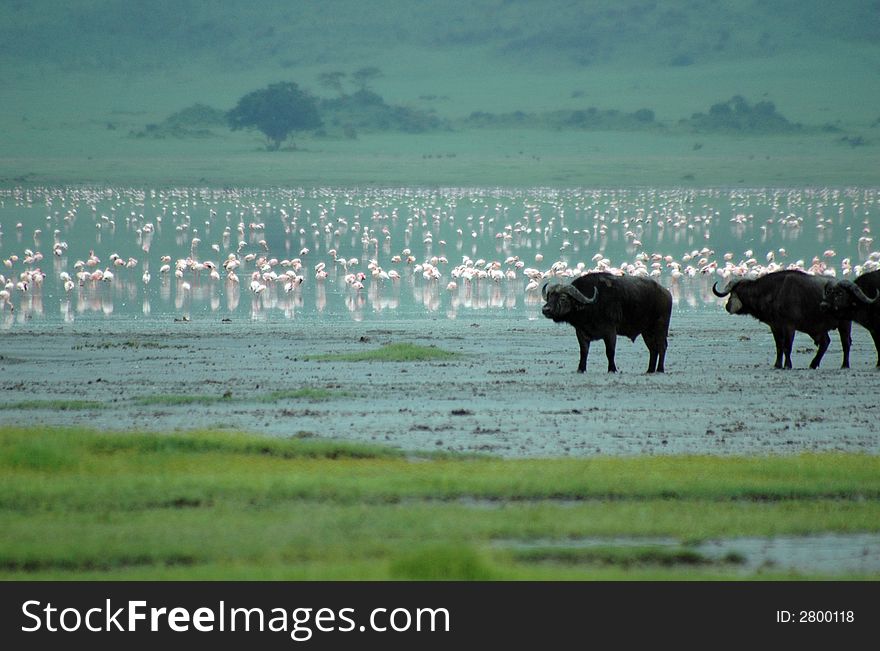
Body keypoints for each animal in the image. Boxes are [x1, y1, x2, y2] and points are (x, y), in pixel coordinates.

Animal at [540, 274, 672, 374]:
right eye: (550, 297)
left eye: (563, 298)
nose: (545, 309)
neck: (592, 306)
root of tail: (666, 293)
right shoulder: (581, 332)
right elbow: (584, 351)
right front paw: (581, 369)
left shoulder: (610, 332)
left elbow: (610, 351)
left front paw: (612, 369)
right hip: (647, 331)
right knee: (653, 349)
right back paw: (650, 370)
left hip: (661, 327)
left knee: (662, 346)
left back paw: (660, 369)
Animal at [716, 270, 852, 370]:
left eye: (732, 294)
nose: (727, 306)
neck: (774, 292)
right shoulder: (775, 326)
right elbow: (779, 346)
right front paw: (777, 365)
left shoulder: (789, 326)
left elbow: (787, 346)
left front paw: (787, 365)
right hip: (816, 328)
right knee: (825, 342)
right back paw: (813, 364)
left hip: (844, 323)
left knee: (845, 343)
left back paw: (844, 365)